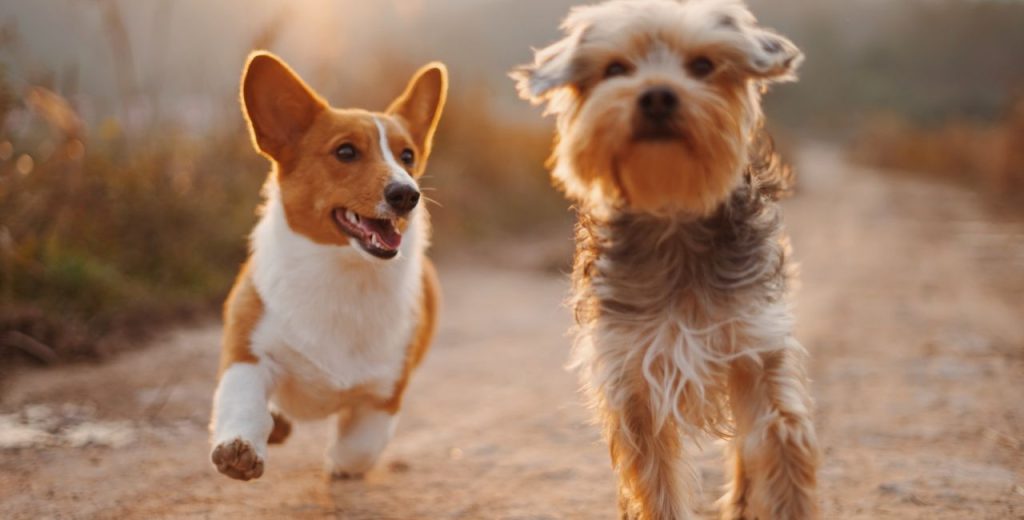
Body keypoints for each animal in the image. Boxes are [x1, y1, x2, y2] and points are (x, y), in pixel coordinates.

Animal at [209, 50, 446, 481]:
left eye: (407, 156)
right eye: (346, 152)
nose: (407, 194)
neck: (343, 273)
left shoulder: (384, 394)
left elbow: (359, 448)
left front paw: (338, 464)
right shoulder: (248, 353)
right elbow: (243, 403)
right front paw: (240, 448)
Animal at [512, 2, 823, 517]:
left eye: (703, 65)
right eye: (615, 69)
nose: (657, 95)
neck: (673, 214)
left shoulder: (756, 348)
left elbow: (779, 445)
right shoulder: (633, 377)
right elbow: (655, 483)